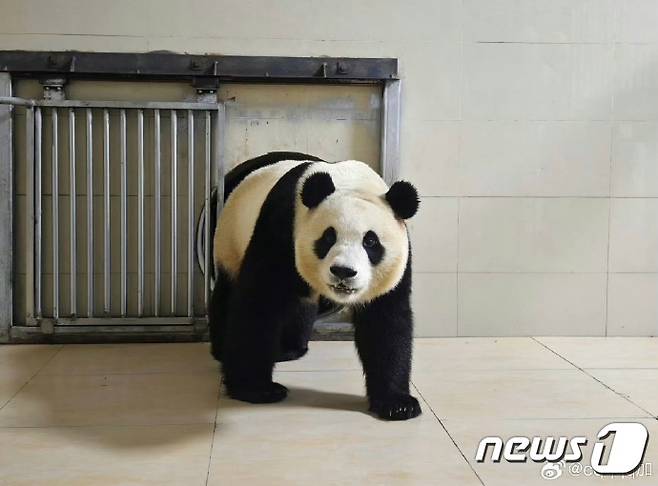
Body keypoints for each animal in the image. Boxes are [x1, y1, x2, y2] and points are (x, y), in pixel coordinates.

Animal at [209, 152, 420, 422]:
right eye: (328, 237)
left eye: (371, 242)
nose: (343, 271)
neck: (351, 183)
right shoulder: (282, 228)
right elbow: (259, 304)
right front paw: (257, 389)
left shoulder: (398, 263)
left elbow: (386, 321)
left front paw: (397, 404)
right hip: (229, 239)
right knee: (228, 293)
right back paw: (222, 349)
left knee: (299, 306)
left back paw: (289, 349)